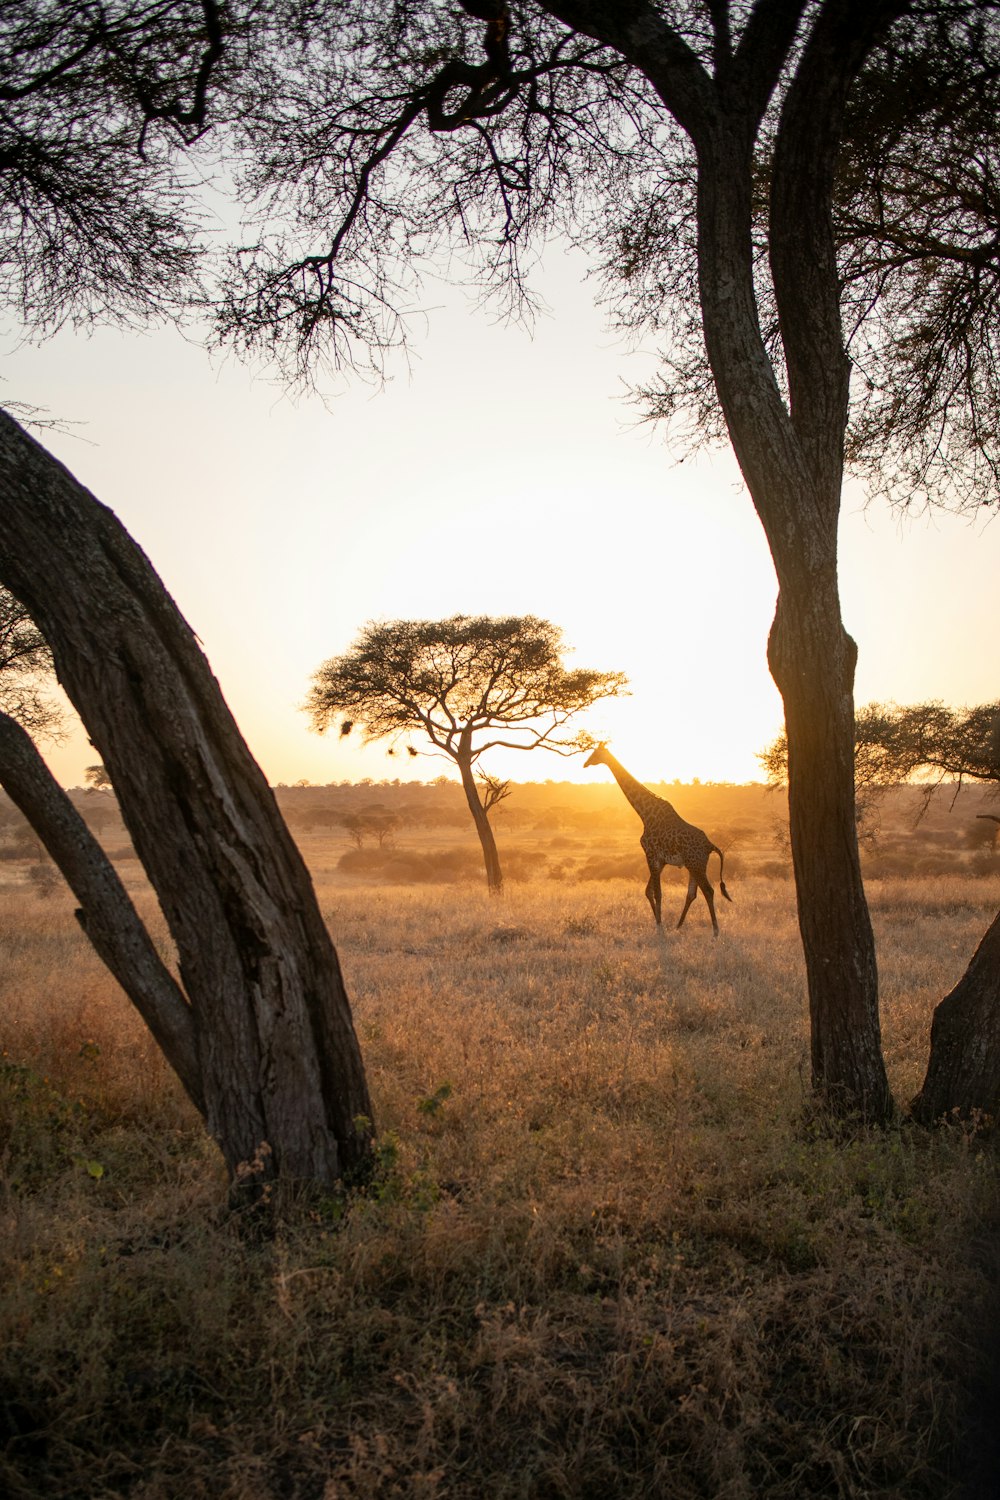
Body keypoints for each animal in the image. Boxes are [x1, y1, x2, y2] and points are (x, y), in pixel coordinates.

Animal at [581, 744, 731, 930]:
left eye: (595, 753)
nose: (585, 764)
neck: (645, 814)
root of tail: (710, 845)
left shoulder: (651, 854)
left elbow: (657, 893)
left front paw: (659, 925)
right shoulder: (660, 860)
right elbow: (649, 891)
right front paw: (659, 922)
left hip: (696, 864)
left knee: (708, 891)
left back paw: (715, 930)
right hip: (693, 865)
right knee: (692, 894)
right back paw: (678, 926)